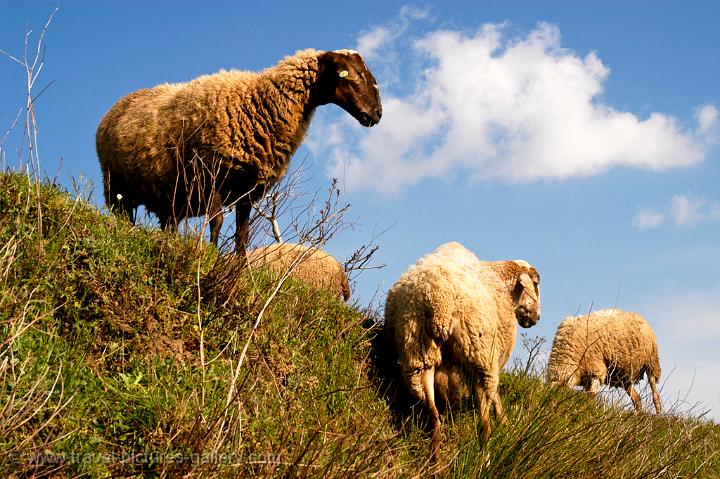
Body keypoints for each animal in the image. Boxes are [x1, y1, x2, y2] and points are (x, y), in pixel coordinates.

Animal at [98, 49, 386, 255]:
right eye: (356, 74)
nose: (378, 114)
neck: (261, 102)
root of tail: (115, 107)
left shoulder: (247, 191)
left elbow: (242, 236)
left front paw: (238, 269)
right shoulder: (210, 177)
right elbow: (216, 223)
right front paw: (211, 257)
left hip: (169, 203)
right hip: (116, 188)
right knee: (123, 219)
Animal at [382, 242, 540, 460]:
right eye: (536, 284)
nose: (536, 317)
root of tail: (439, 300)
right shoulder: (495, 362)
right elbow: (497, 397)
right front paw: (504, 422)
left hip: (418, 355)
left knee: (434, 415)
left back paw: (437, 462)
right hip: (479, 356)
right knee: (483, 424)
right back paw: (484, 458)